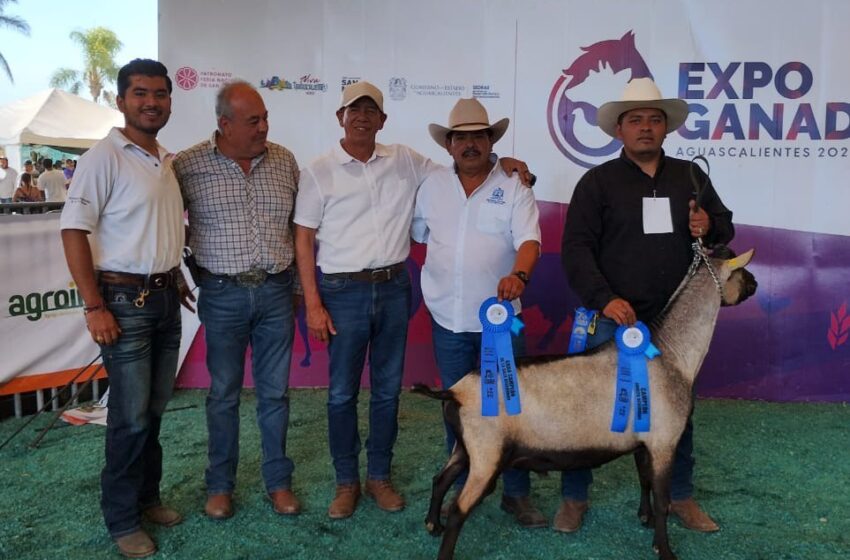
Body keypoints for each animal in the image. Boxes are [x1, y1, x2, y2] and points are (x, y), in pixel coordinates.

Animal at [410, 249, 756, 560]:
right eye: (741, 270)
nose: (754, 283)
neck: (671, 353)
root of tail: (454, 392)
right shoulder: (664, 442)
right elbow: (663, 500)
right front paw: (665, 550)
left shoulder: (644, 442)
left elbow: (644, 480)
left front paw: (643, 519)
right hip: (487, 454)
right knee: (459, 508)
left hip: (466, 447)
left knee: (440, 479)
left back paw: (432, 525)